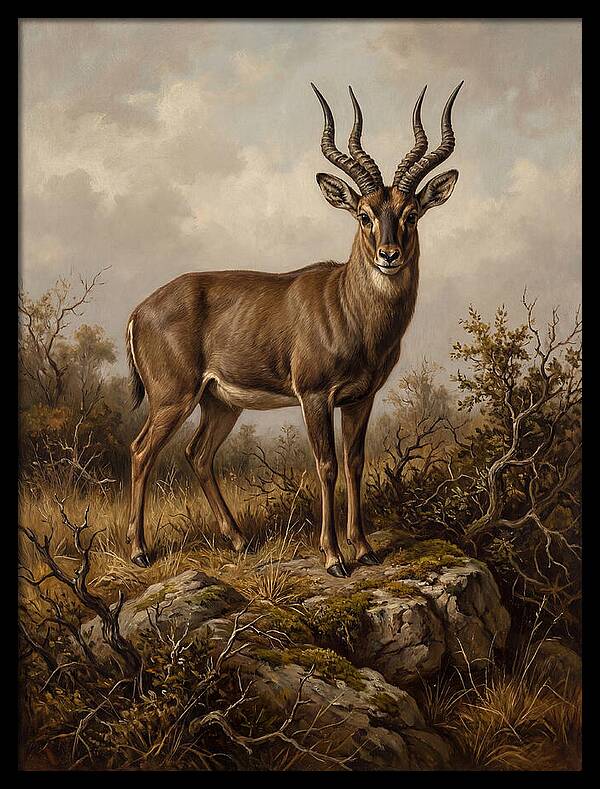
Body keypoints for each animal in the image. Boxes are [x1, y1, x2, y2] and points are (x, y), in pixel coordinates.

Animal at [126, 81, 463, 577]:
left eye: (411, 213)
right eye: (364, 214)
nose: (389, 255)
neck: (348, 308)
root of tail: (139, 310)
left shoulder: (361, 398)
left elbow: (355, 462)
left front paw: (365, 548)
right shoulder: (315, 395)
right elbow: (325, 464)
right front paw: (334, 557)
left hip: (220, 402)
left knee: (197, 454)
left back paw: (240, 541)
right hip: (173, 398)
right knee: (141, 450)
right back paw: (140, 551)